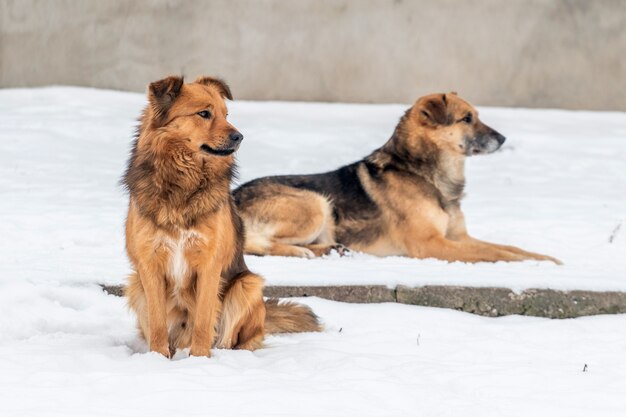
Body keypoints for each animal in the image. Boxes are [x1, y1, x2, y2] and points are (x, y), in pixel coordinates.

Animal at [121, 75, 320, 358]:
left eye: (227, 114)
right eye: (204, 114)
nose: (239, 137)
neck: (183, 183)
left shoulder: (209, 265)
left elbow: (204, 320)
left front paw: (200, 360)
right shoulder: (150, 265)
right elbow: (158, 324)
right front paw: (157, 358)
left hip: (247, 285)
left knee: (235, 338)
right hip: (136, 286)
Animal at [232, 92, 560, 264]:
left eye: (477, 116)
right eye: (467, 119)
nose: (503, 139)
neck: (422, 173)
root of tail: (231, 196)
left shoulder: (458, 237)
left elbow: (509, 248)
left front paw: (544, 258)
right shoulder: (432, 244)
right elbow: (494, 253)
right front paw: (533, 263)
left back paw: (329, 249)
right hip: (314, 203)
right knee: (259, 244)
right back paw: (302, 251)